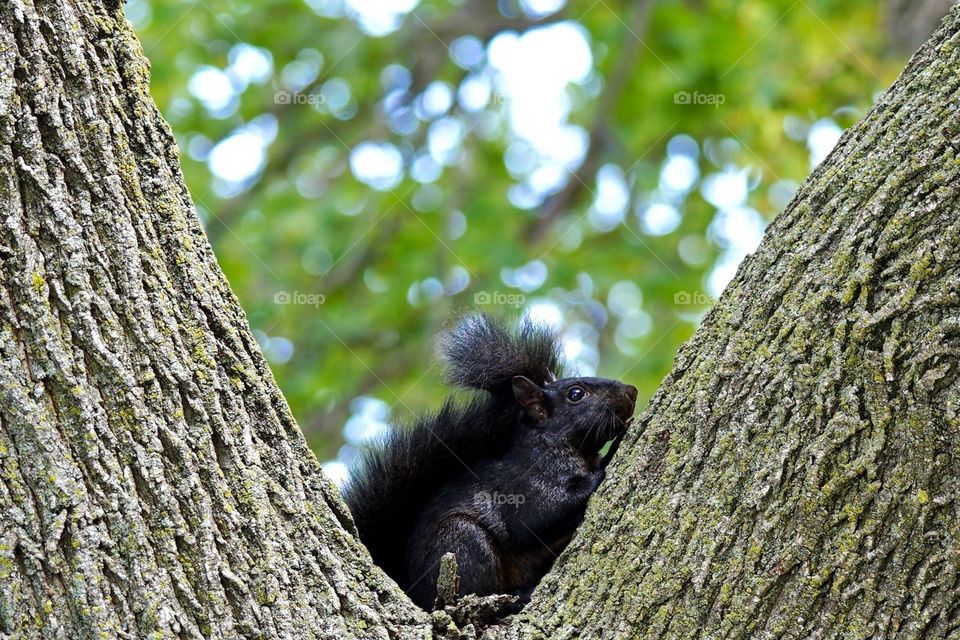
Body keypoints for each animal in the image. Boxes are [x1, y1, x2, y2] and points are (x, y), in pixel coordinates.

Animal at [343, 314, 637, 611]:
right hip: (462, 541)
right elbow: (540, 516)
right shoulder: (525, 487)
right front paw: (603, 466)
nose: (632, 391)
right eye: (576, 394)